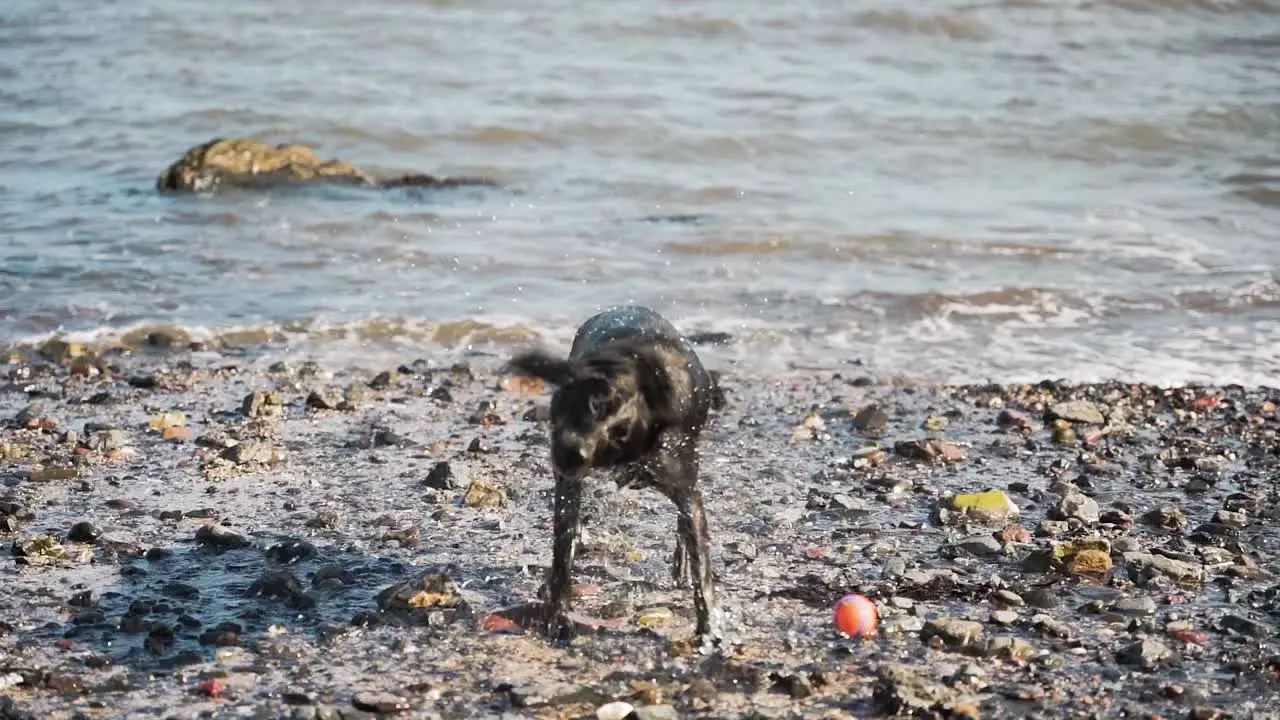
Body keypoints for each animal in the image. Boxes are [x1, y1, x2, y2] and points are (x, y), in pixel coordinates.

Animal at [506, 304, 721, 640]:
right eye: (589, 405)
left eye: (620, 432)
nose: (570, 454)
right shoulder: (568, 488)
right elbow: (561, 556)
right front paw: (558, 615)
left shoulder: (685, 490)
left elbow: (701, 568)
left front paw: (709, 630)